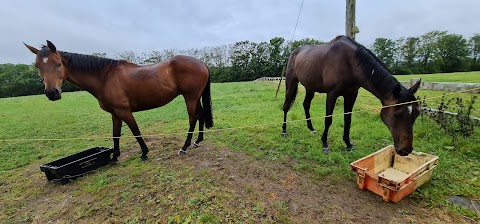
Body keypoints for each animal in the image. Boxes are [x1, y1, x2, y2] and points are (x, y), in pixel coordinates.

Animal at [24, 40, 212, 161]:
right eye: (37, 66)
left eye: (58, 64)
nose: (52, 93)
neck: (105, 77)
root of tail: (202, 63)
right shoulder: (115, 113)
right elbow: (115, 134)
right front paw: (115, 156)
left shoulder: (124, 111)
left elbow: (135, 130)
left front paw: (144, 153)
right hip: (195, 98)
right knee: (201, 116)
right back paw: (197, 142)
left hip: (190, 97)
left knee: (193, 118)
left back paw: (184, 147)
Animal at [282, 36, 420, 156]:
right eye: (396, 115)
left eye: (416, 114)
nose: (406, 150)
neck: (350, 63)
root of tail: (295, 52)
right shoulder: (332, 94)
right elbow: (328, 119)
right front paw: (325, 144)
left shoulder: (351, 95)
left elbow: (348, 119)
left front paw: (348, 144)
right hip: (291, 82)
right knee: (286, 105)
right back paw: (284, 130)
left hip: (310, 87)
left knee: (306, 105)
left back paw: (311, 128)